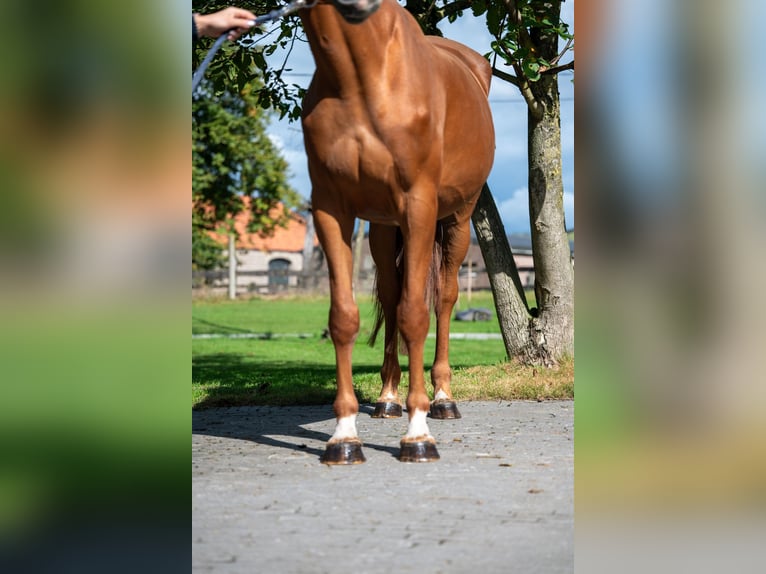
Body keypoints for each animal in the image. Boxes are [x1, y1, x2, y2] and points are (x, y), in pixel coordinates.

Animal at [300, 0, 498, 464]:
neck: (362, 79)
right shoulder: (332, 210)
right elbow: (345, 317)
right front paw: (344, 436)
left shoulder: (419, 206)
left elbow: (415, 314)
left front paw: (418, 433)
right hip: (383, 228)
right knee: (391, 297)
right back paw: (388, 397)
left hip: (457, 219)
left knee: (443, 298)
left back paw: (443, 398)